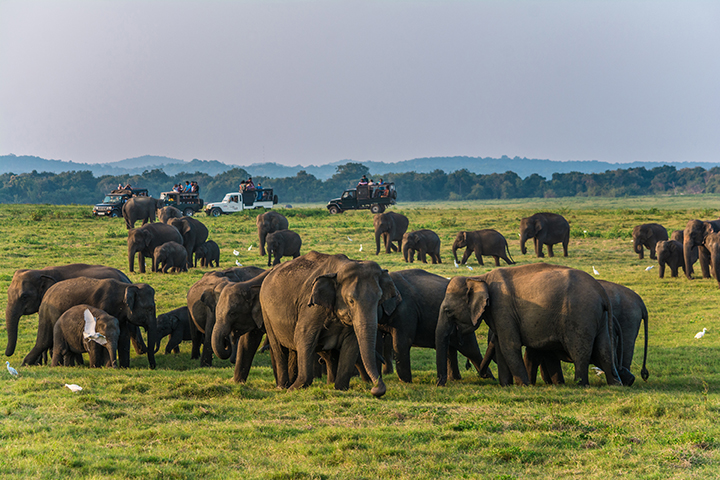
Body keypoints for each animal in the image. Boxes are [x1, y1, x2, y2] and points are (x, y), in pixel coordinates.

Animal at [22, 277, 157, 369]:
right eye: (150, 308)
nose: (152, 367)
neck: (125, 286)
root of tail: (46, 295)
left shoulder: (121, 316)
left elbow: (123, 337)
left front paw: (124, 368)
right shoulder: (104, 306)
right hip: (50, 313)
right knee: (44, 341)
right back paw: (25, 365)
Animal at [260, 251, 400, 397]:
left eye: (379, 299)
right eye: (351, 300)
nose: (375, 389)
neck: (339, 269)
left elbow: (351, 344)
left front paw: (340, 389)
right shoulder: (311, 308)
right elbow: (304, 337)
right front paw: (293, 389)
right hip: (265, 311)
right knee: (279, 348)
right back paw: (283, 387)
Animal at [435, 263, 622, 387]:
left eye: (448, 311)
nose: (439, 383)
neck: (481, 278)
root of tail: (601, 291)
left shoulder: (502, 307)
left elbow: (509, 345)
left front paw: (523, 385)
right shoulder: (498, 313)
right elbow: (501, 346)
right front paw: (507, 386)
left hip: (580, 315)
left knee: (580, 351)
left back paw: (580, 384)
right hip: (599, 318)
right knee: (604, 350)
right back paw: (615, 384)